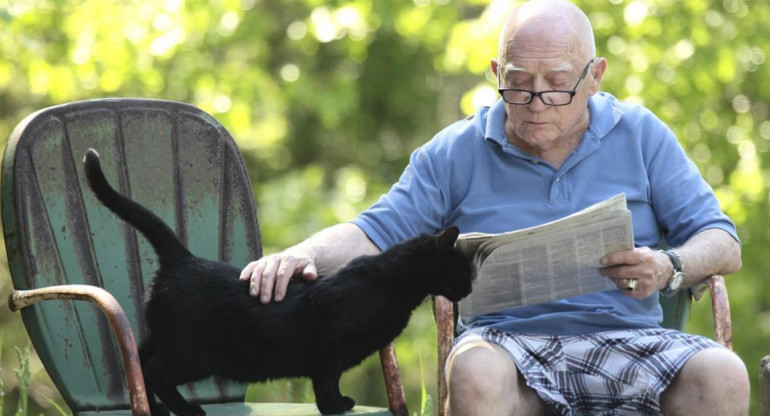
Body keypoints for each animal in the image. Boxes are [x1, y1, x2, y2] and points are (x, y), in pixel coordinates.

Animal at [81, 150, 472, 416]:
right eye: (462, 270)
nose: (469, 288)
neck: (391, 282)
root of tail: (184, 258)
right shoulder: (328, 353)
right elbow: (326, 383)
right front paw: (336, 406)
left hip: (166, 339)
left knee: (138, 361)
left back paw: (158, 409)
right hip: (195, 353)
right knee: (153, 370)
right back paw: (188, 409)